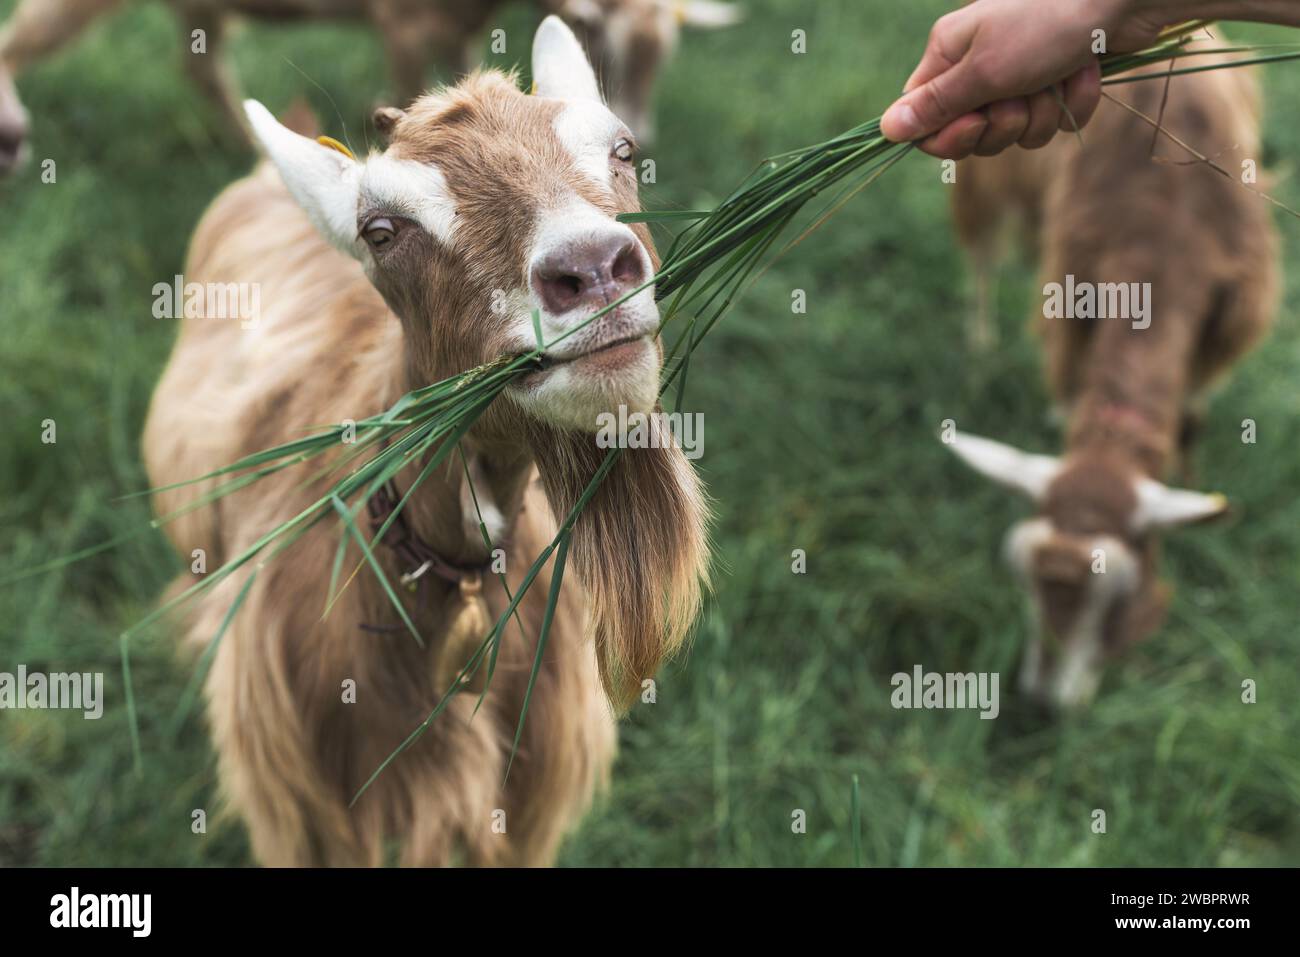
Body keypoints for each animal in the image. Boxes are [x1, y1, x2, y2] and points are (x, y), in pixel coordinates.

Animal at [944, 44, 1279, 709]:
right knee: (983, 262)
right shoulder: (1077, 289)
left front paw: (1190, 479)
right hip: (984, 179)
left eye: (1121, 594)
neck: (1170, 223)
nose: (1043, 703)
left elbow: (1192, 418)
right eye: (1024, 580)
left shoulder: (1226, 319)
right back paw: (982, 346)